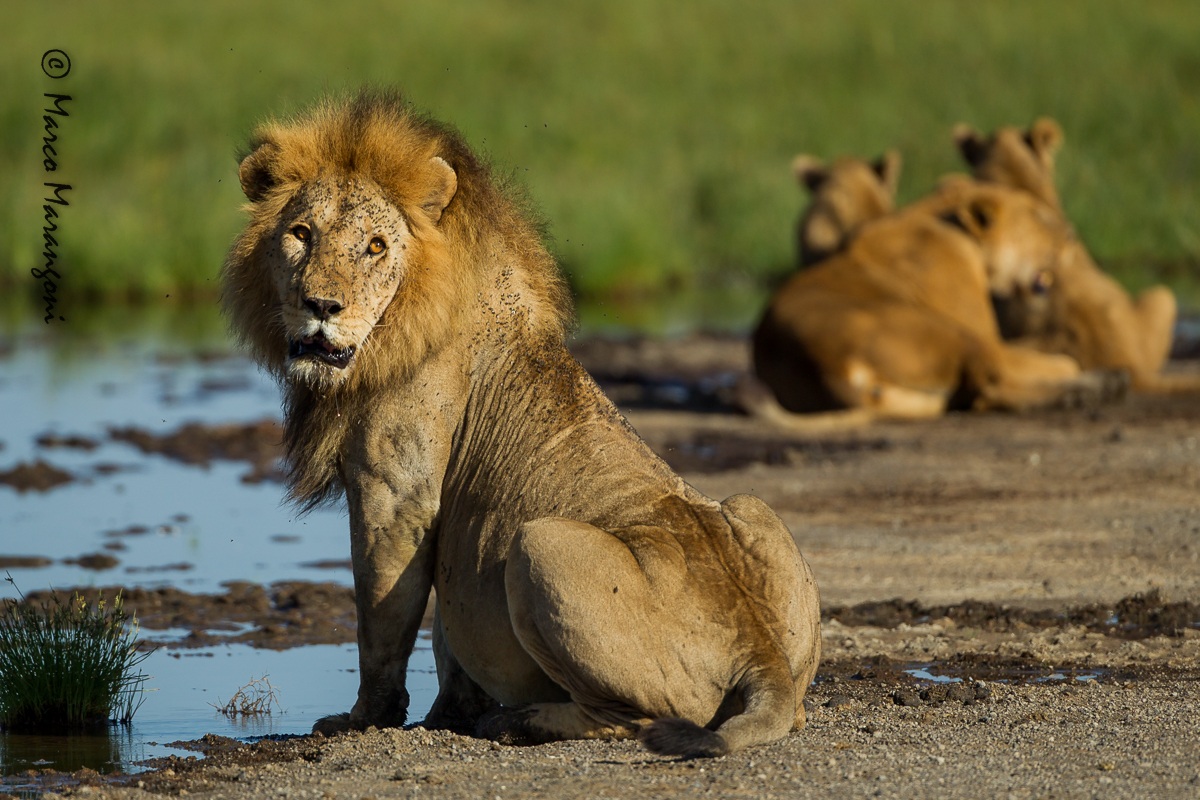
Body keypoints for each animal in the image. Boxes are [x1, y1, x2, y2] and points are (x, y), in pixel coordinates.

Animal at [221, 89, 821, 759]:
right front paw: (447, 713)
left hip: (540, 545)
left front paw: (365, 719)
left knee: (631, 718)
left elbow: (383, 619)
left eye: (375, 246)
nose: (322, 307)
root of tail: (760, 653)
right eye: (301, 234)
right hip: (753, 509)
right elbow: (448, 635)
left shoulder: (396, 493)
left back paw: (519, 722)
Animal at [751, 180, 1126, 423]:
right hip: (953, 335)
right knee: (988, 387)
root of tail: (824, 364)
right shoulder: (990, 339)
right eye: (1036, 215)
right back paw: (1092, 388)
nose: (1072, 236)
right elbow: (1063, 361)